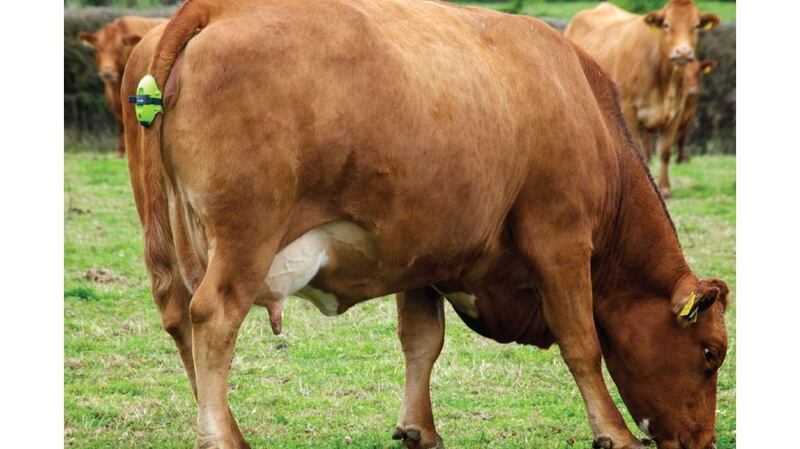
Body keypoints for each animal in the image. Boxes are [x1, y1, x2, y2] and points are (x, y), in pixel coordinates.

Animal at [565, 0, 720, 198]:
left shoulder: (677, 112)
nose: (683, 52)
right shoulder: (629, 107)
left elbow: (665, 150)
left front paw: (665, 188)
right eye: (666, 25)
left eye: (696, 26)